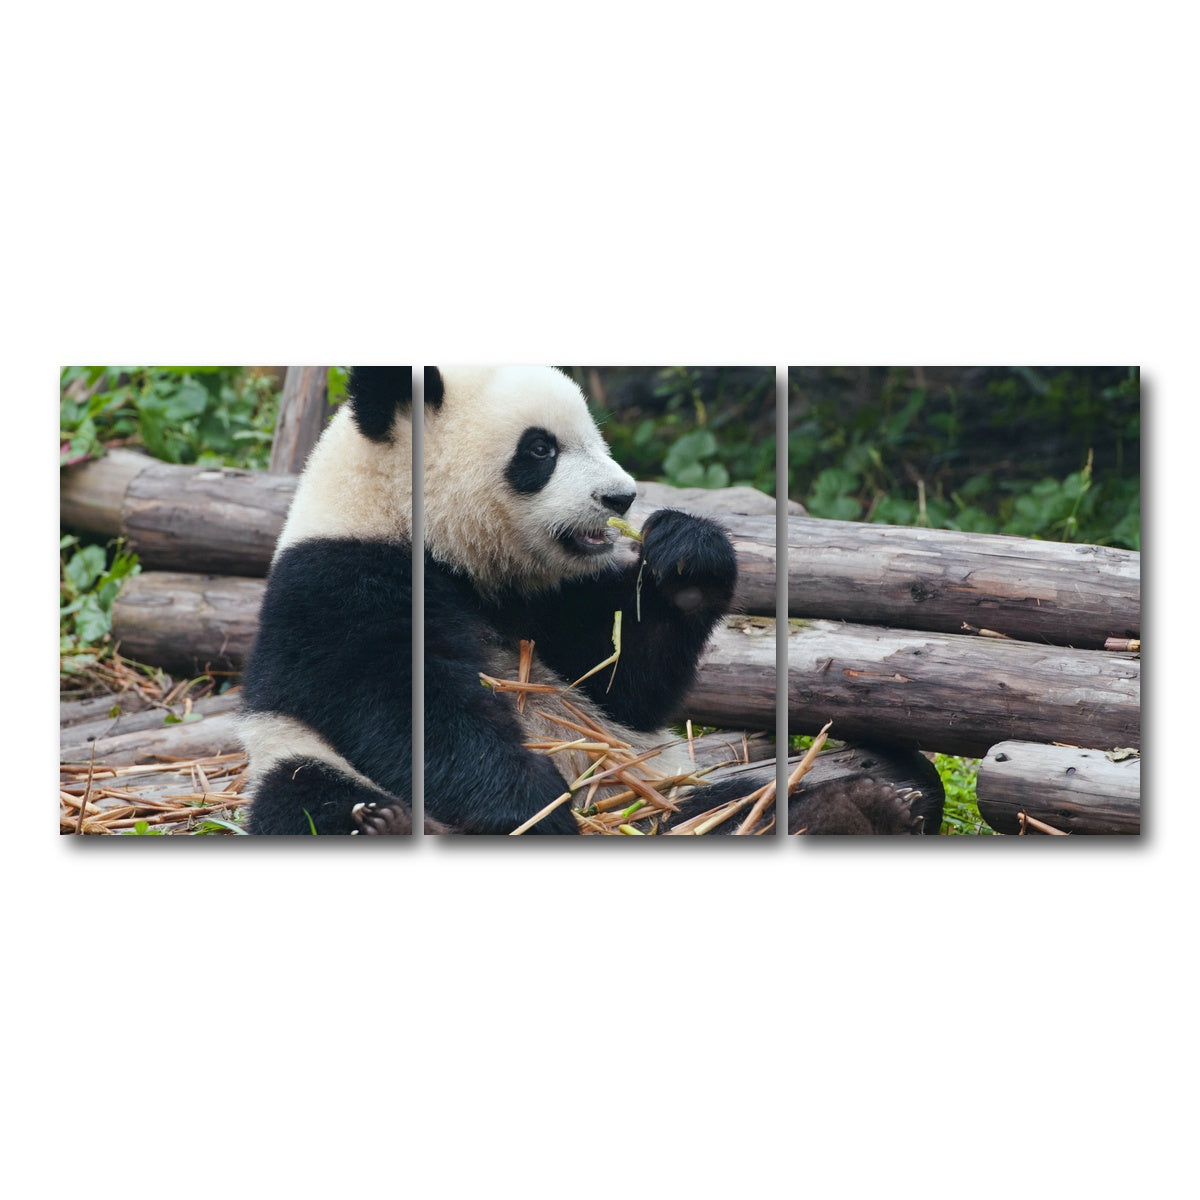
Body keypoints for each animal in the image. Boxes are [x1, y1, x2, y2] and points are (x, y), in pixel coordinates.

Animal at [239, 365, 746, 835]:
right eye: (540, 449)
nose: (621, 497)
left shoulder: (542, 595)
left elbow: (622, 682)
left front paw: (688, 560)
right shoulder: (337, 583)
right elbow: (404, 704)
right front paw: (534, 803)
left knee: (729, 798)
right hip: (289, 749)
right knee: (303, 793)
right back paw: (386, 822)